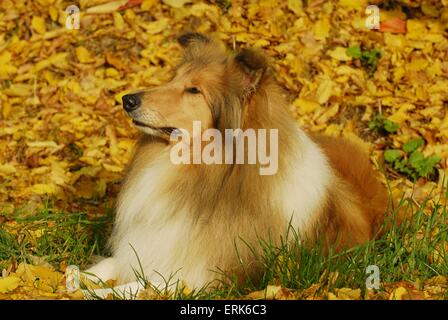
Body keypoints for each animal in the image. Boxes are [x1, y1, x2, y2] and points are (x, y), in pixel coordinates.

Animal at [86, 33, 388, 290]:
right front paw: (78, 276)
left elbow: (134, 288)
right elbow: (106, 266)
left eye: (194, 90)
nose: (127, 99)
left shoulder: (197, 276)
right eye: (173, 80)